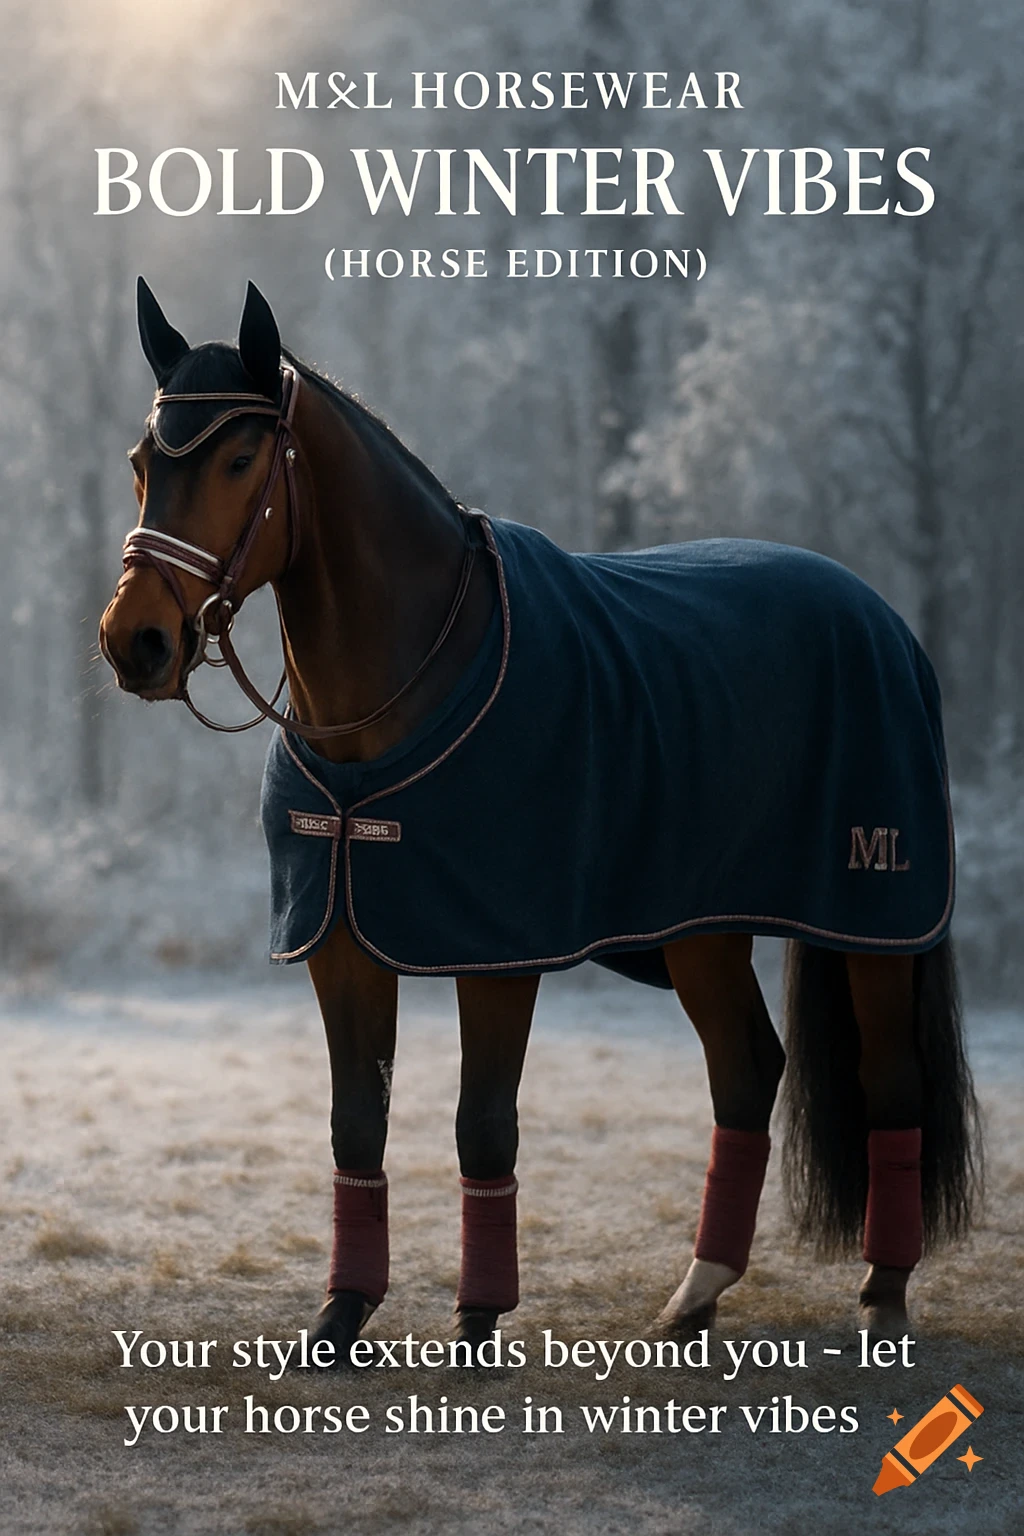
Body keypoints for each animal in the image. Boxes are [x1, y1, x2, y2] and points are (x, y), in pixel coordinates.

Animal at [99, 278, 980, 1362]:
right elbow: (357, 1124)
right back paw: (696, 1295)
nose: (135, 641)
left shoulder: (497, 952)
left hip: (873, 920)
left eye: (237, 459)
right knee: (745, 1071)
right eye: (142, 464)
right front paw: (341, 1317)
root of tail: (885, 623)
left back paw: (881, 1296)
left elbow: (483, 1124)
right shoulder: (342, 943)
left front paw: (479, 1322)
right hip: (701, 928)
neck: (392, 696)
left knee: (890, 1083)